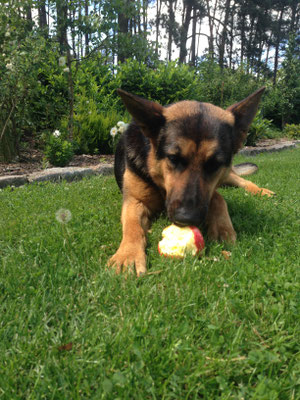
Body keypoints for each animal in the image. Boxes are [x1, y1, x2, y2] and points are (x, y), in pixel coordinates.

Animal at [108, 87, 274, 276]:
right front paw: (127, 255)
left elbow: (219, 199)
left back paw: (261, 191)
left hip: (227, 175)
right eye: (173, 158)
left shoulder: (211, 188)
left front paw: (222, 226)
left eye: (214, 164)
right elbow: (132, 226)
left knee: (240, 179)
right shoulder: (134, 201)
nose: (186, 218)